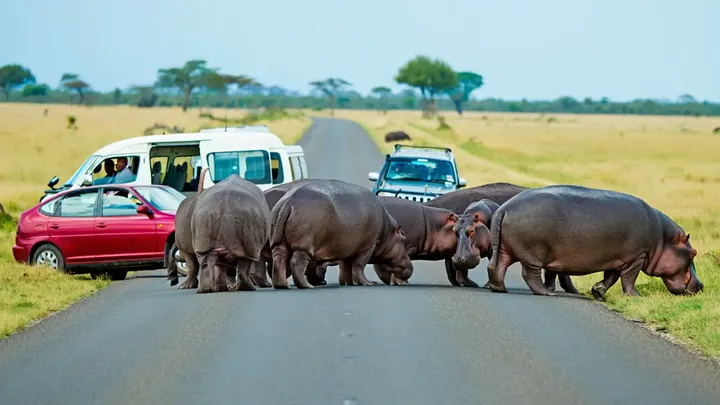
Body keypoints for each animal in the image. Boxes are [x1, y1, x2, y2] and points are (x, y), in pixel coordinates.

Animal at [269, 179, 413, 289]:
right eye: (403, 237)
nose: (411, 267)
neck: (387, 231)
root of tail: (288, 203)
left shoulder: (348, 248)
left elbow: (346, 267)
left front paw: (349, 283)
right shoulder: (368, 246)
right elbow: (359, 265)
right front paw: (367, 283)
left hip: (278, 241)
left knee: (279, 260)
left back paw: (281, 285)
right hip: (304, 246)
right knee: (296, 263)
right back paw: (307, 286)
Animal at [485, 184, 703, 299]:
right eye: (693, 253)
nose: (701, 285)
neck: (663, 239)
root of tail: (504, 208)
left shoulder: (617, 259)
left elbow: (611, 278)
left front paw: (597, 292)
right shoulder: (636, 258)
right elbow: (628, 278)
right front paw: (636, 296)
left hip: (506, 249)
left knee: (497, 266)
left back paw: (499, 288)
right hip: (533, 254)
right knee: (530, 274)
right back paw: (547, 293)